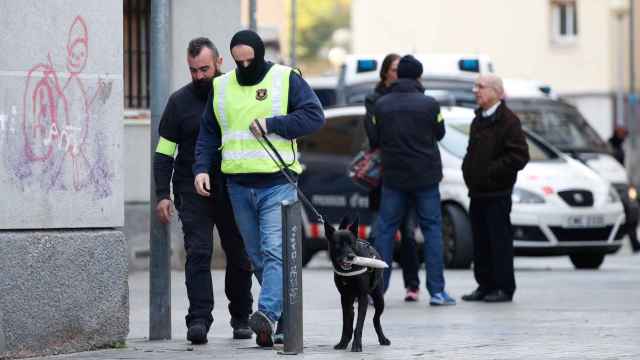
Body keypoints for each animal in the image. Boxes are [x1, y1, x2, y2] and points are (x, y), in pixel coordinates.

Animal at [324, 217, 390, 352]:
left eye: (351, 243)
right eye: (338, 244)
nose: (351, 256)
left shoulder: (362, 297)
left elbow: (359, 324)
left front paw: (357, 345)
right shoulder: (345, 298)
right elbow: (346, 324)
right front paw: (342, 343)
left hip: (379, 299)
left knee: (376, 319)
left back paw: (383, 339)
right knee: (350, 321)